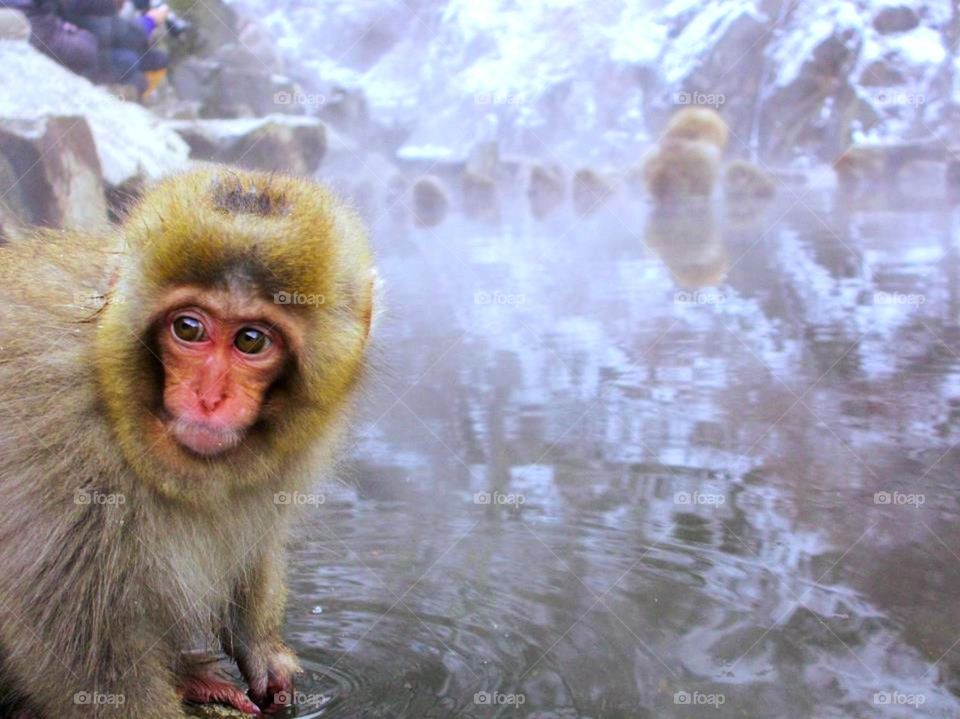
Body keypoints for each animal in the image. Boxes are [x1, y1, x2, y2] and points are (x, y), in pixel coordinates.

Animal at [0, 166, 377, 717]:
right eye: (189, 328)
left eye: (251, 340)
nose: (208, 397)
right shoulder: (58, 439)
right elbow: (76, 648)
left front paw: (262, 649)